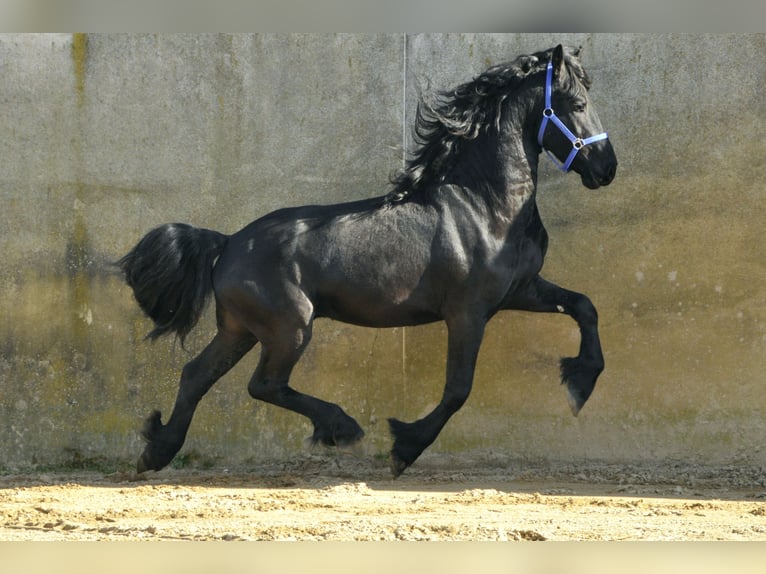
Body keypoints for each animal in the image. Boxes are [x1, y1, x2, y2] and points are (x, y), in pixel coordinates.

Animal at [118, 44, 616, 476]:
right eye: (575, 102)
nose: (606, 167)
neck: (485, 206)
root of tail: (227, 242)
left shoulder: (520, 290)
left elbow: (585, 306)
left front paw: (579, 384)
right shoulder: (468, 312)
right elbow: (458, 389)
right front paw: (404, 448)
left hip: (240, 329)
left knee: (196, 375)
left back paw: (155, 453)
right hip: (289, 328)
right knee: (264, 384)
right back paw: (342, 427)